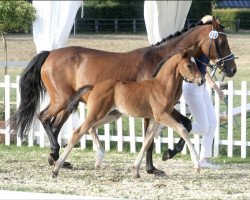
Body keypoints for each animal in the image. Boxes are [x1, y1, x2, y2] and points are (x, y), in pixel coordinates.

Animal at [52, 47, 203, 178]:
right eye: (189, 65)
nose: (201, 80)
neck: (161, 87)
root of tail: (94, 86)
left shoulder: (154, 119)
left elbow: (147, 141)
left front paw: (136, 170)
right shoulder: (162, 116)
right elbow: (182, 129)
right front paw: (197, 164)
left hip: (112, 115)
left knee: (91, 128)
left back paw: (99, 159)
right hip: (96, 113)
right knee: (77, 133)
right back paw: (56, 168)